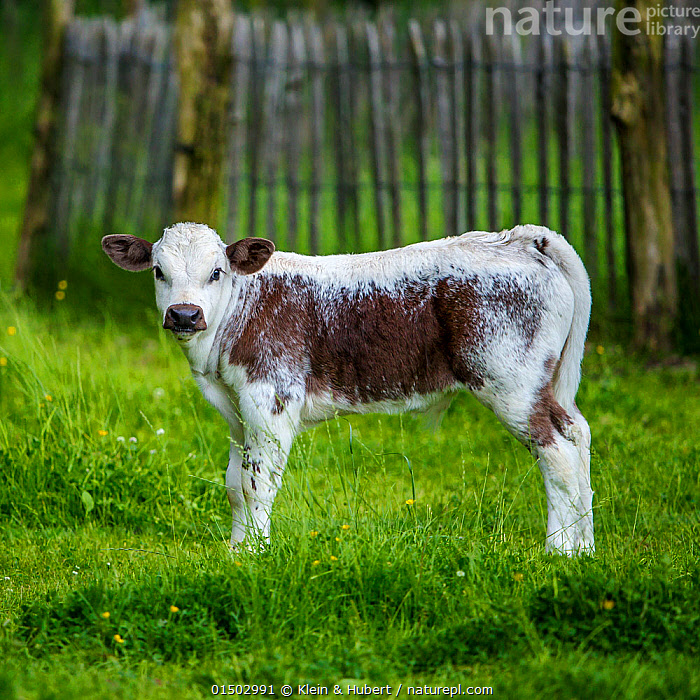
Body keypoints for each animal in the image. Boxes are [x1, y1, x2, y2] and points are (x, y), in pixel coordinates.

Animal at [104, 221, 592, 556]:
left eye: (217, 272)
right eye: (158, 271)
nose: (184, 314)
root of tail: (522, 238)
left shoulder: (271, 398)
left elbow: (258, 483)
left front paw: (256, 554)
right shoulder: (237, 410)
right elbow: (234, 484)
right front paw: (236, 552)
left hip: (511, 383)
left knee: (558, 455)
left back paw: (558, 551)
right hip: (540, 384)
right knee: (578, 433)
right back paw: (585, 547)